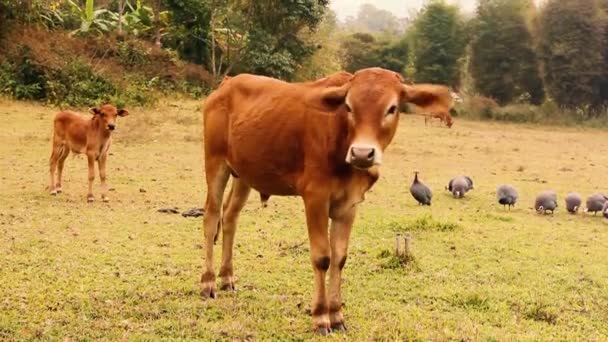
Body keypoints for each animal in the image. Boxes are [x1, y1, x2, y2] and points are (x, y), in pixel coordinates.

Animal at [201, 67, 452, 334]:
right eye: (349, 106)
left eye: (392, 108)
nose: (362, 153)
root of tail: (226, 84)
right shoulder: (315, 198)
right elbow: (322, 257)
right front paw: (321, 316)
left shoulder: (349, 205)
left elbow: (339, 258)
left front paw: (337, 314)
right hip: (216, 163)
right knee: (211, 218)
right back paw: (208, 282)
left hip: (244, 175)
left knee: (230, 217)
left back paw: (227, 277)